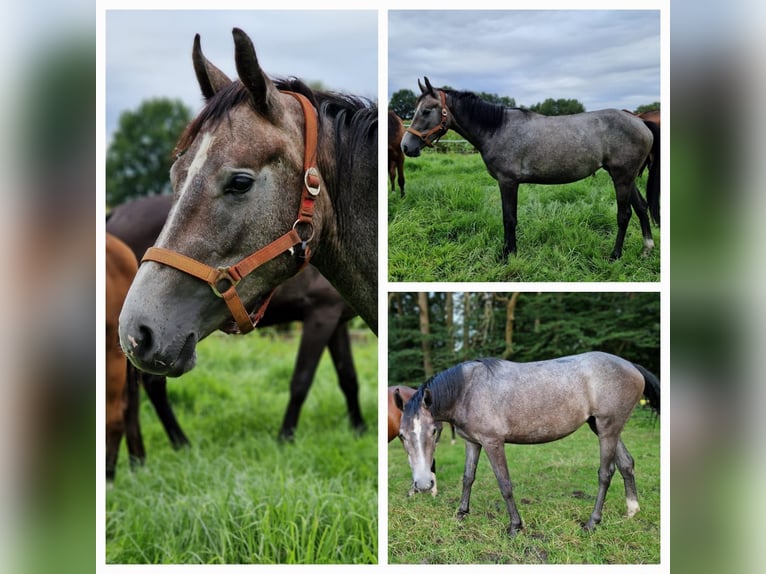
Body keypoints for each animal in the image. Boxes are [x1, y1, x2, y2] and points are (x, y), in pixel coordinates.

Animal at [109, 196, 368, 444]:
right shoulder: (320, 315)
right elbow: (301, 381)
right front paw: (285, 438)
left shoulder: (335, 320)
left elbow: (348, 377)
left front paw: (359, 428)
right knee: (153, 385)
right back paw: (181, 443)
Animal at [396, 354, 660, 536]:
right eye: (401, 435)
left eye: (434, 431)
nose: (423, 484)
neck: (467, 390)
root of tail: (631, 366)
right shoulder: (472, 442)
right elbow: (468, 478)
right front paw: (461, 514)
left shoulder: (493, 443)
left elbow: (505, 484)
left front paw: (515, 526)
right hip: (605, 428)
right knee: (626, 464)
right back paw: (631, 511)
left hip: (607, 429)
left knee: (606, 473)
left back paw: (592, 522)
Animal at [402, 78, 660, 260]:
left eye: (427, 110)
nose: (406, 146)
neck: (496, 129)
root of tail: (639, 120)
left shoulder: (508, 182)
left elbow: (509, 218)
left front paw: (507, 255)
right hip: (626, 177)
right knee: (641, 207)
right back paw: (646, 249)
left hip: (622, 177)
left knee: (624, 215)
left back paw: (615, 255)